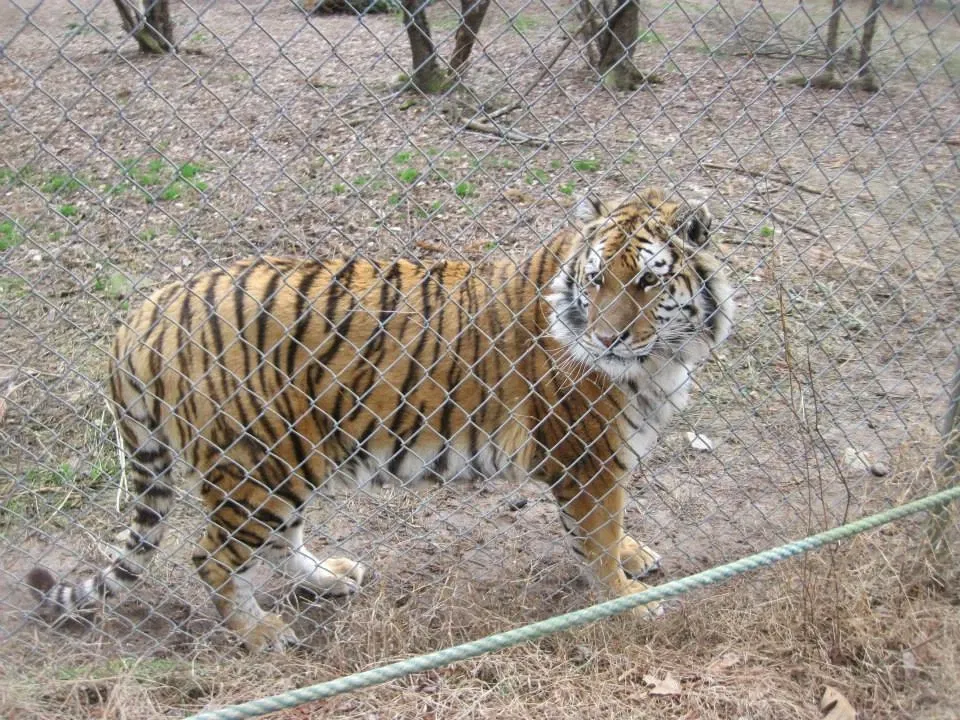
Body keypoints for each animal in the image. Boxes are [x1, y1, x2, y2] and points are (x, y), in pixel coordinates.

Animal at [27, 187, 734, 651]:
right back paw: (260, 633)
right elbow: (597, 540)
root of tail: (143, 312)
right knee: (212, 559)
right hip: (256, 464)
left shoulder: (607, 461)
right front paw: (629, 606)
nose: (607, 339)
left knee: (278, 540)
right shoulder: (587, 462)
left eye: (646, 282)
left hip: (287, 457)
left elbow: (611, 531)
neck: (666, 356)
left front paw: (633, 555)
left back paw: (330, 578)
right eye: (596, 278)